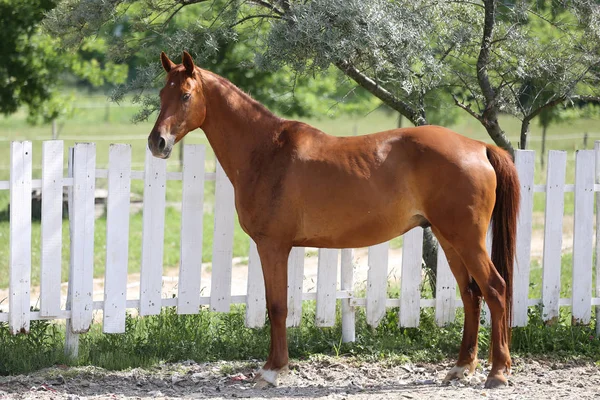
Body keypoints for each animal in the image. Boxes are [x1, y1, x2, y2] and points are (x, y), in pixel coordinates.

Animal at [149, 51, 520, 390]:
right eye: (162, 94)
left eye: (185, 95)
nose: (157, 142)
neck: (267, 151)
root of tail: (479, 146)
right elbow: (277, 304)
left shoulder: (273, 246)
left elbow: (277, 306)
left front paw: (273, 370)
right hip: (449, 238)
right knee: (470, 294)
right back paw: (461, 367)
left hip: (467, 240)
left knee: (495, 289)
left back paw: (498, 372)